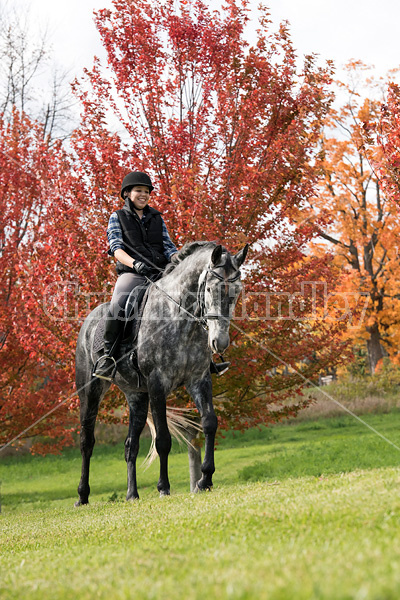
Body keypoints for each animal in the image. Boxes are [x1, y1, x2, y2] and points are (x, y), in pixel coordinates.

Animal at [74, 241, 247, 504]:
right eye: (209, 289)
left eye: (237, 291)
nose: (220, 342)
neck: (179, 317)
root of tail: (89, 321)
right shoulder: (157, 384)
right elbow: (163, 439)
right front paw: (163, 487)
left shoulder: (199, 379)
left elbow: (209, 423)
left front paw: (205, 479)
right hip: (91, 390)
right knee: (87, 441)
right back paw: (82, 496)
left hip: (137, 396)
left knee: (130, 445)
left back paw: (132, 494)